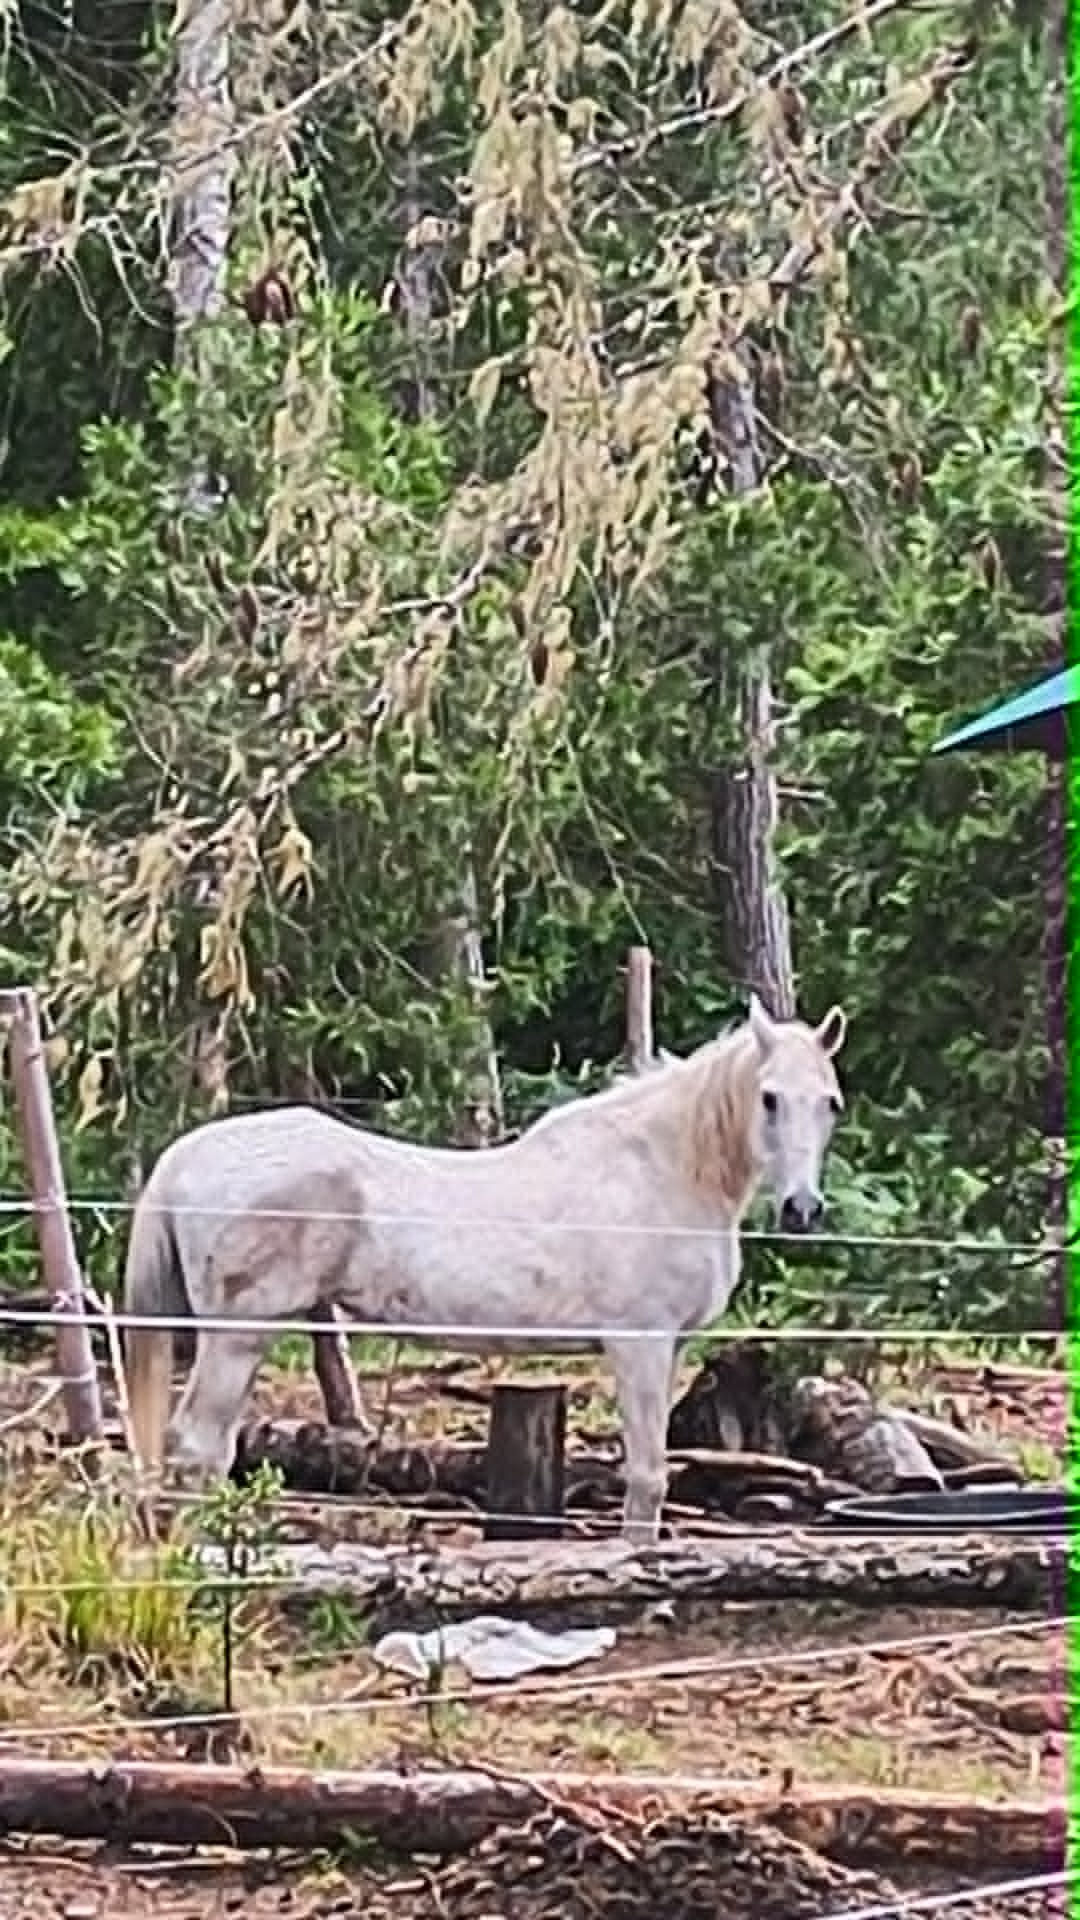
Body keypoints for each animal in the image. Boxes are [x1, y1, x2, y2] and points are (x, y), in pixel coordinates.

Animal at [122, 993, 847, 1543]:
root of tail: (185, 1155)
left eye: (830, 1102)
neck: (660, 1169)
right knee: (198, 1446)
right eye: (769, 1098)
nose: (802, 1209)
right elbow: (647, 1476)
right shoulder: (638, 1345)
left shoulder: (666, 1349)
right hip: (238, 1338)